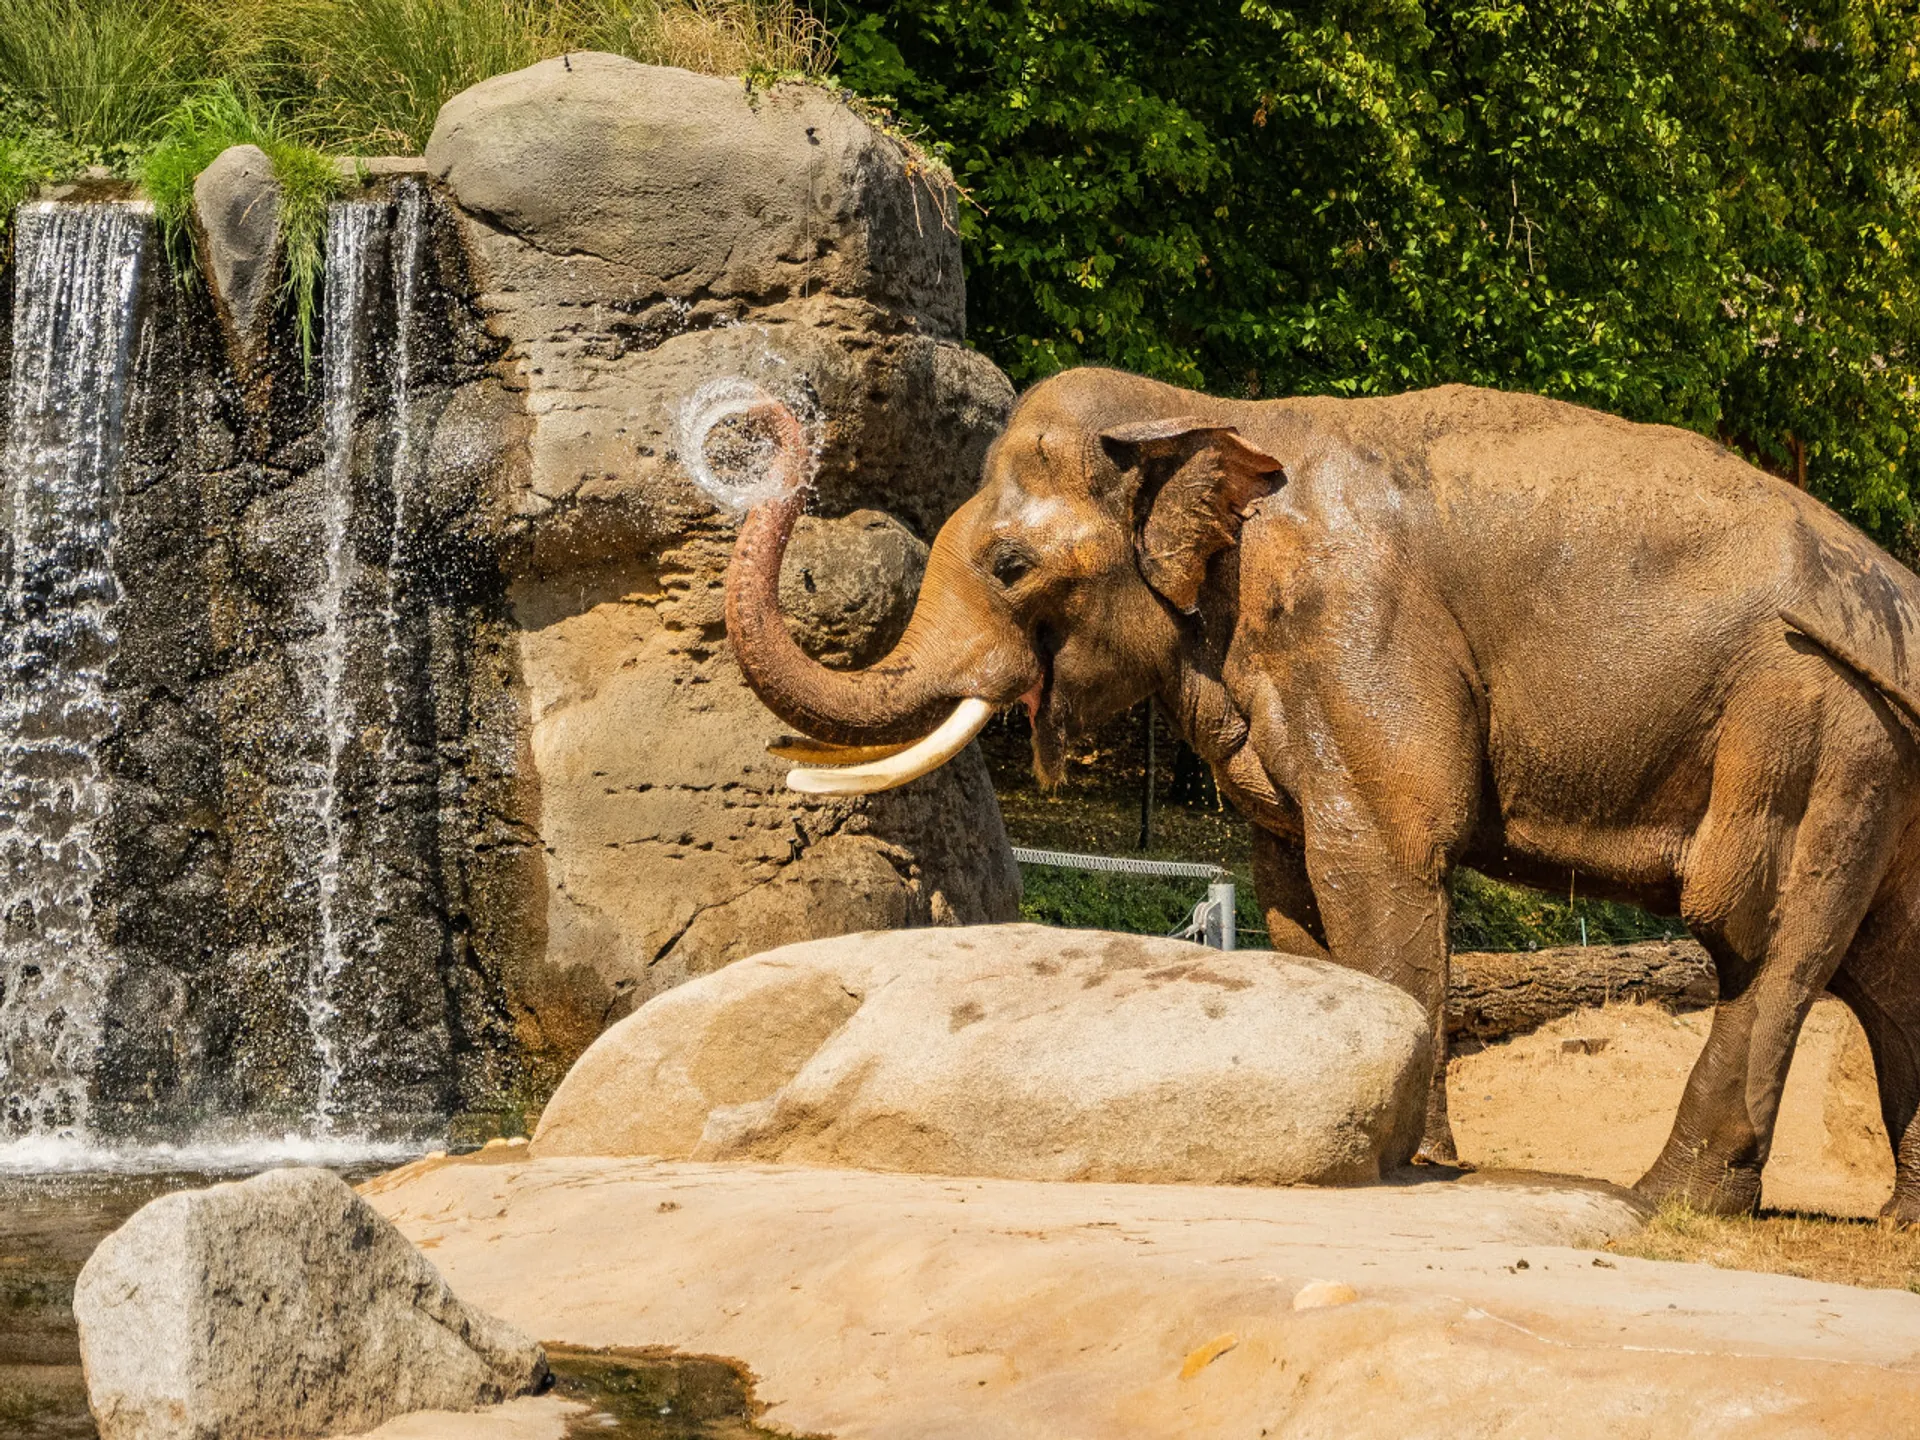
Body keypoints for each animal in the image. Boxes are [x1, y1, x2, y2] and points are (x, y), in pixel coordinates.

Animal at [719, 366, 1920, 1221]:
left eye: (1010, 566)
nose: (758, 421)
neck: (1208, 413)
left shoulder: (1358, 632)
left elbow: (1377, 855)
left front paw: (1413, 1164)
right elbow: (1292, 885)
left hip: (1815, 726)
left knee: (1757, 933)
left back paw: (1669, 1201)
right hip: (1874, 757)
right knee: (1887, 963)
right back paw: (1893, 1221)